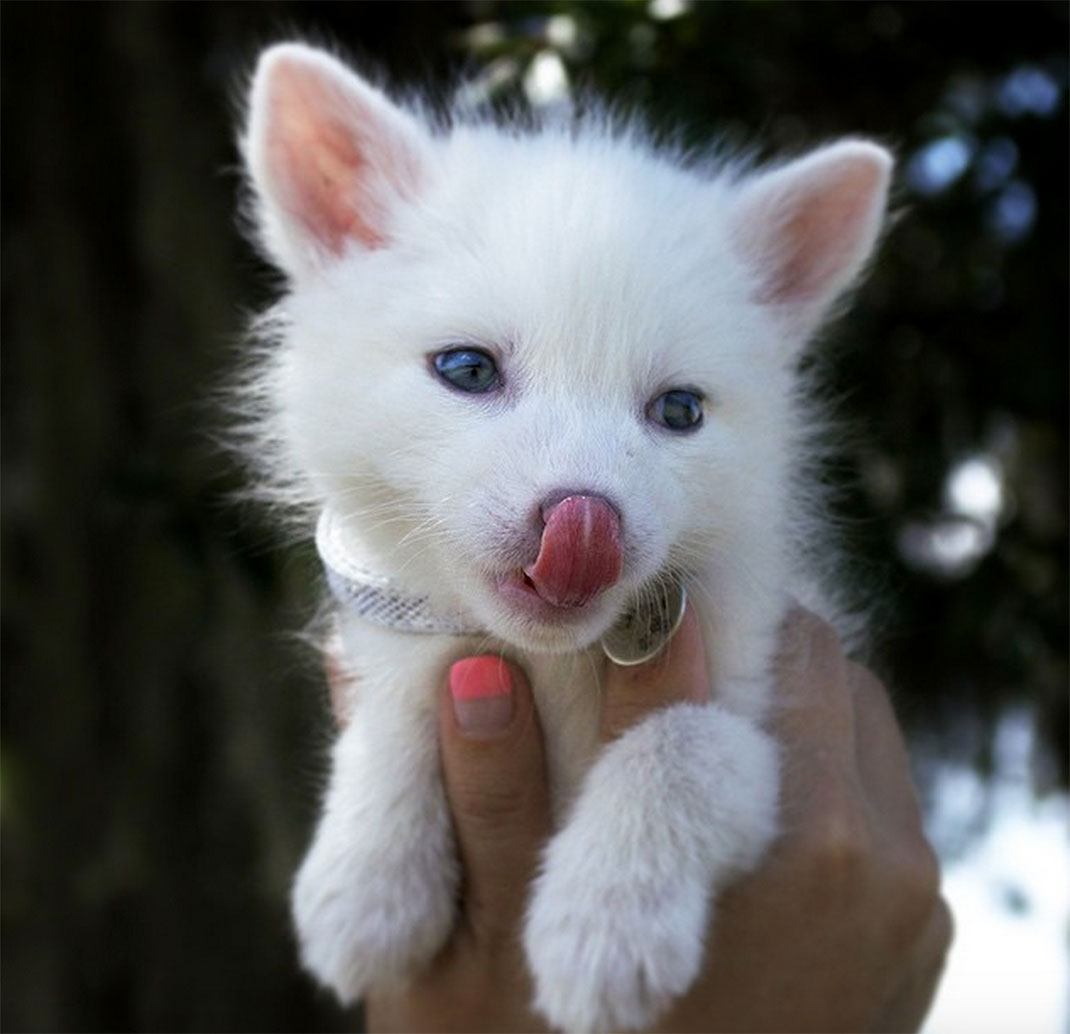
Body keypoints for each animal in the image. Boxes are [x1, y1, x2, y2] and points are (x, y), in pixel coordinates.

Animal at [235, 42, 893, 1032]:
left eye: (680, 411)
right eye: (467, 369)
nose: (585, 526)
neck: (550, 665)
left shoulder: (768, 723)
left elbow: (682, 743)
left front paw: (607, 921)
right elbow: (400, 704)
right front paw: (366, 874)